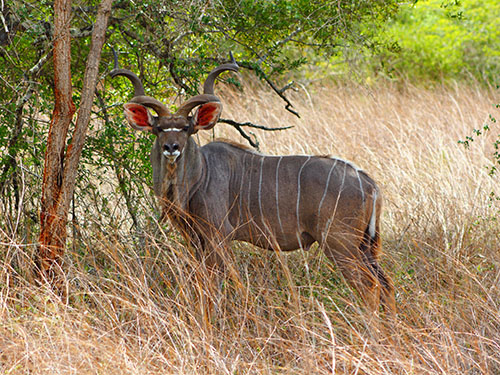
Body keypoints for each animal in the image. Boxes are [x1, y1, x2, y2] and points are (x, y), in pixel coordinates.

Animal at [109, 56, 394, 314]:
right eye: (160, 129)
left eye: (186, 128)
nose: (172, 147)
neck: (200, 176)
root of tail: (369, 184)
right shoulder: (196, 240)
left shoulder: (218, 236)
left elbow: (216, 285)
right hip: (364, 245)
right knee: (386, 284)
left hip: (339, 244)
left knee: (369, 286)